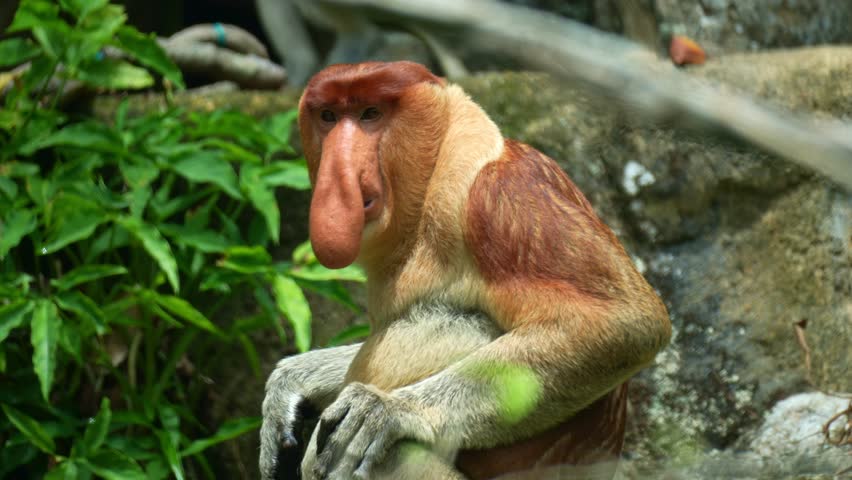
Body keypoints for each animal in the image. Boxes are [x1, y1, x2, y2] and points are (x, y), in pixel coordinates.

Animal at [260, 60, 671, 479]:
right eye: (328, 116)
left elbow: (624, 321)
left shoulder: (498, 197)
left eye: (370, 114)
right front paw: (290, 381)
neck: (431, 179)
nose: (338, 170)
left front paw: (386, 411)